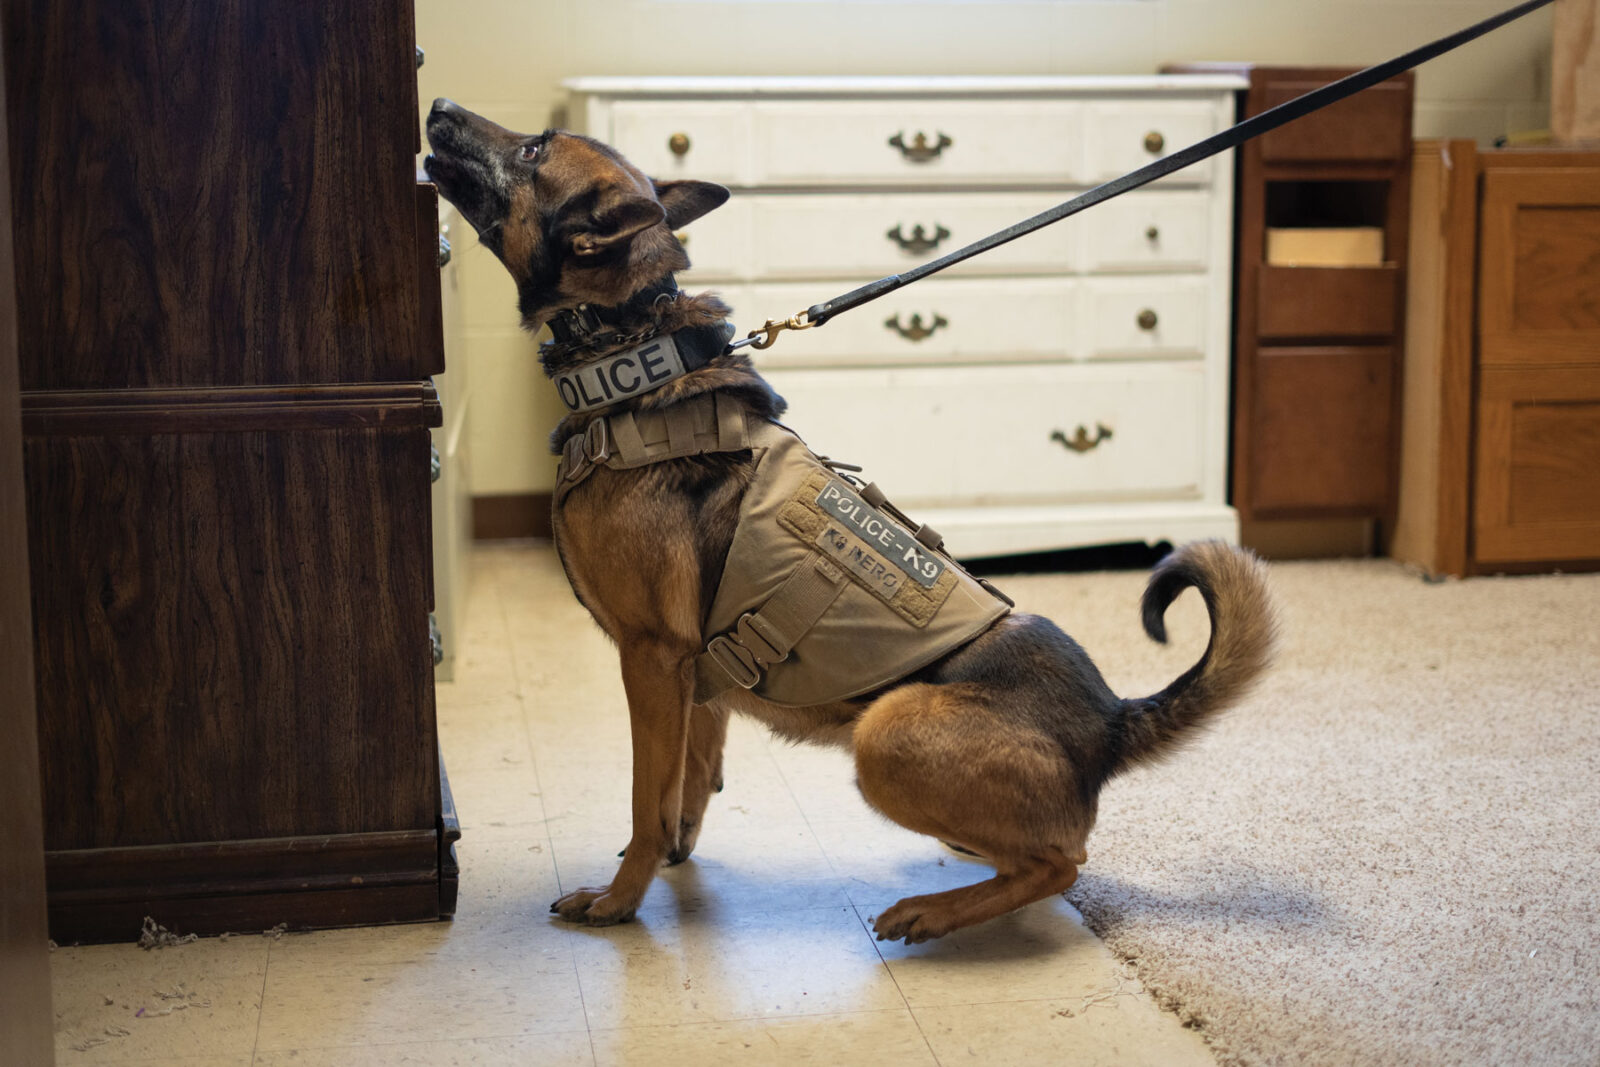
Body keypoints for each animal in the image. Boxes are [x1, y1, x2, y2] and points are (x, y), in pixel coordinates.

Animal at [422, 102, 1273, 940]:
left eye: (534, 149)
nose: (437, 105)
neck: (630, 351)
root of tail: (1110, 721)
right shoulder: (693, 680)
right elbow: (686, 783)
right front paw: (672, 858)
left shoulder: (651, 660)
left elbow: (644, 799)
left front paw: (622, 896)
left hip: (883, 733)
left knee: (1060, 864)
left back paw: (933, 912)